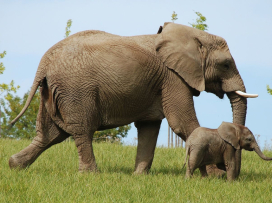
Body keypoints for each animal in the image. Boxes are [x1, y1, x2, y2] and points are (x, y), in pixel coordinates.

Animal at [8, 23, 258, 174]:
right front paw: (215, 175)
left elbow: (149, 127)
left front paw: (139, 176)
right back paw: (91, 175)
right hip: (76, 90)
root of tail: (44, 63)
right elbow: (182, 122)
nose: (231, 173)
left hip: (53, 92)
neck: (191, 34)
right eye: (226, 65)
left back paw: (15, 166)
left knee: (49, 135)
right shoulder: (173, 77)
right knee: (81, 130)